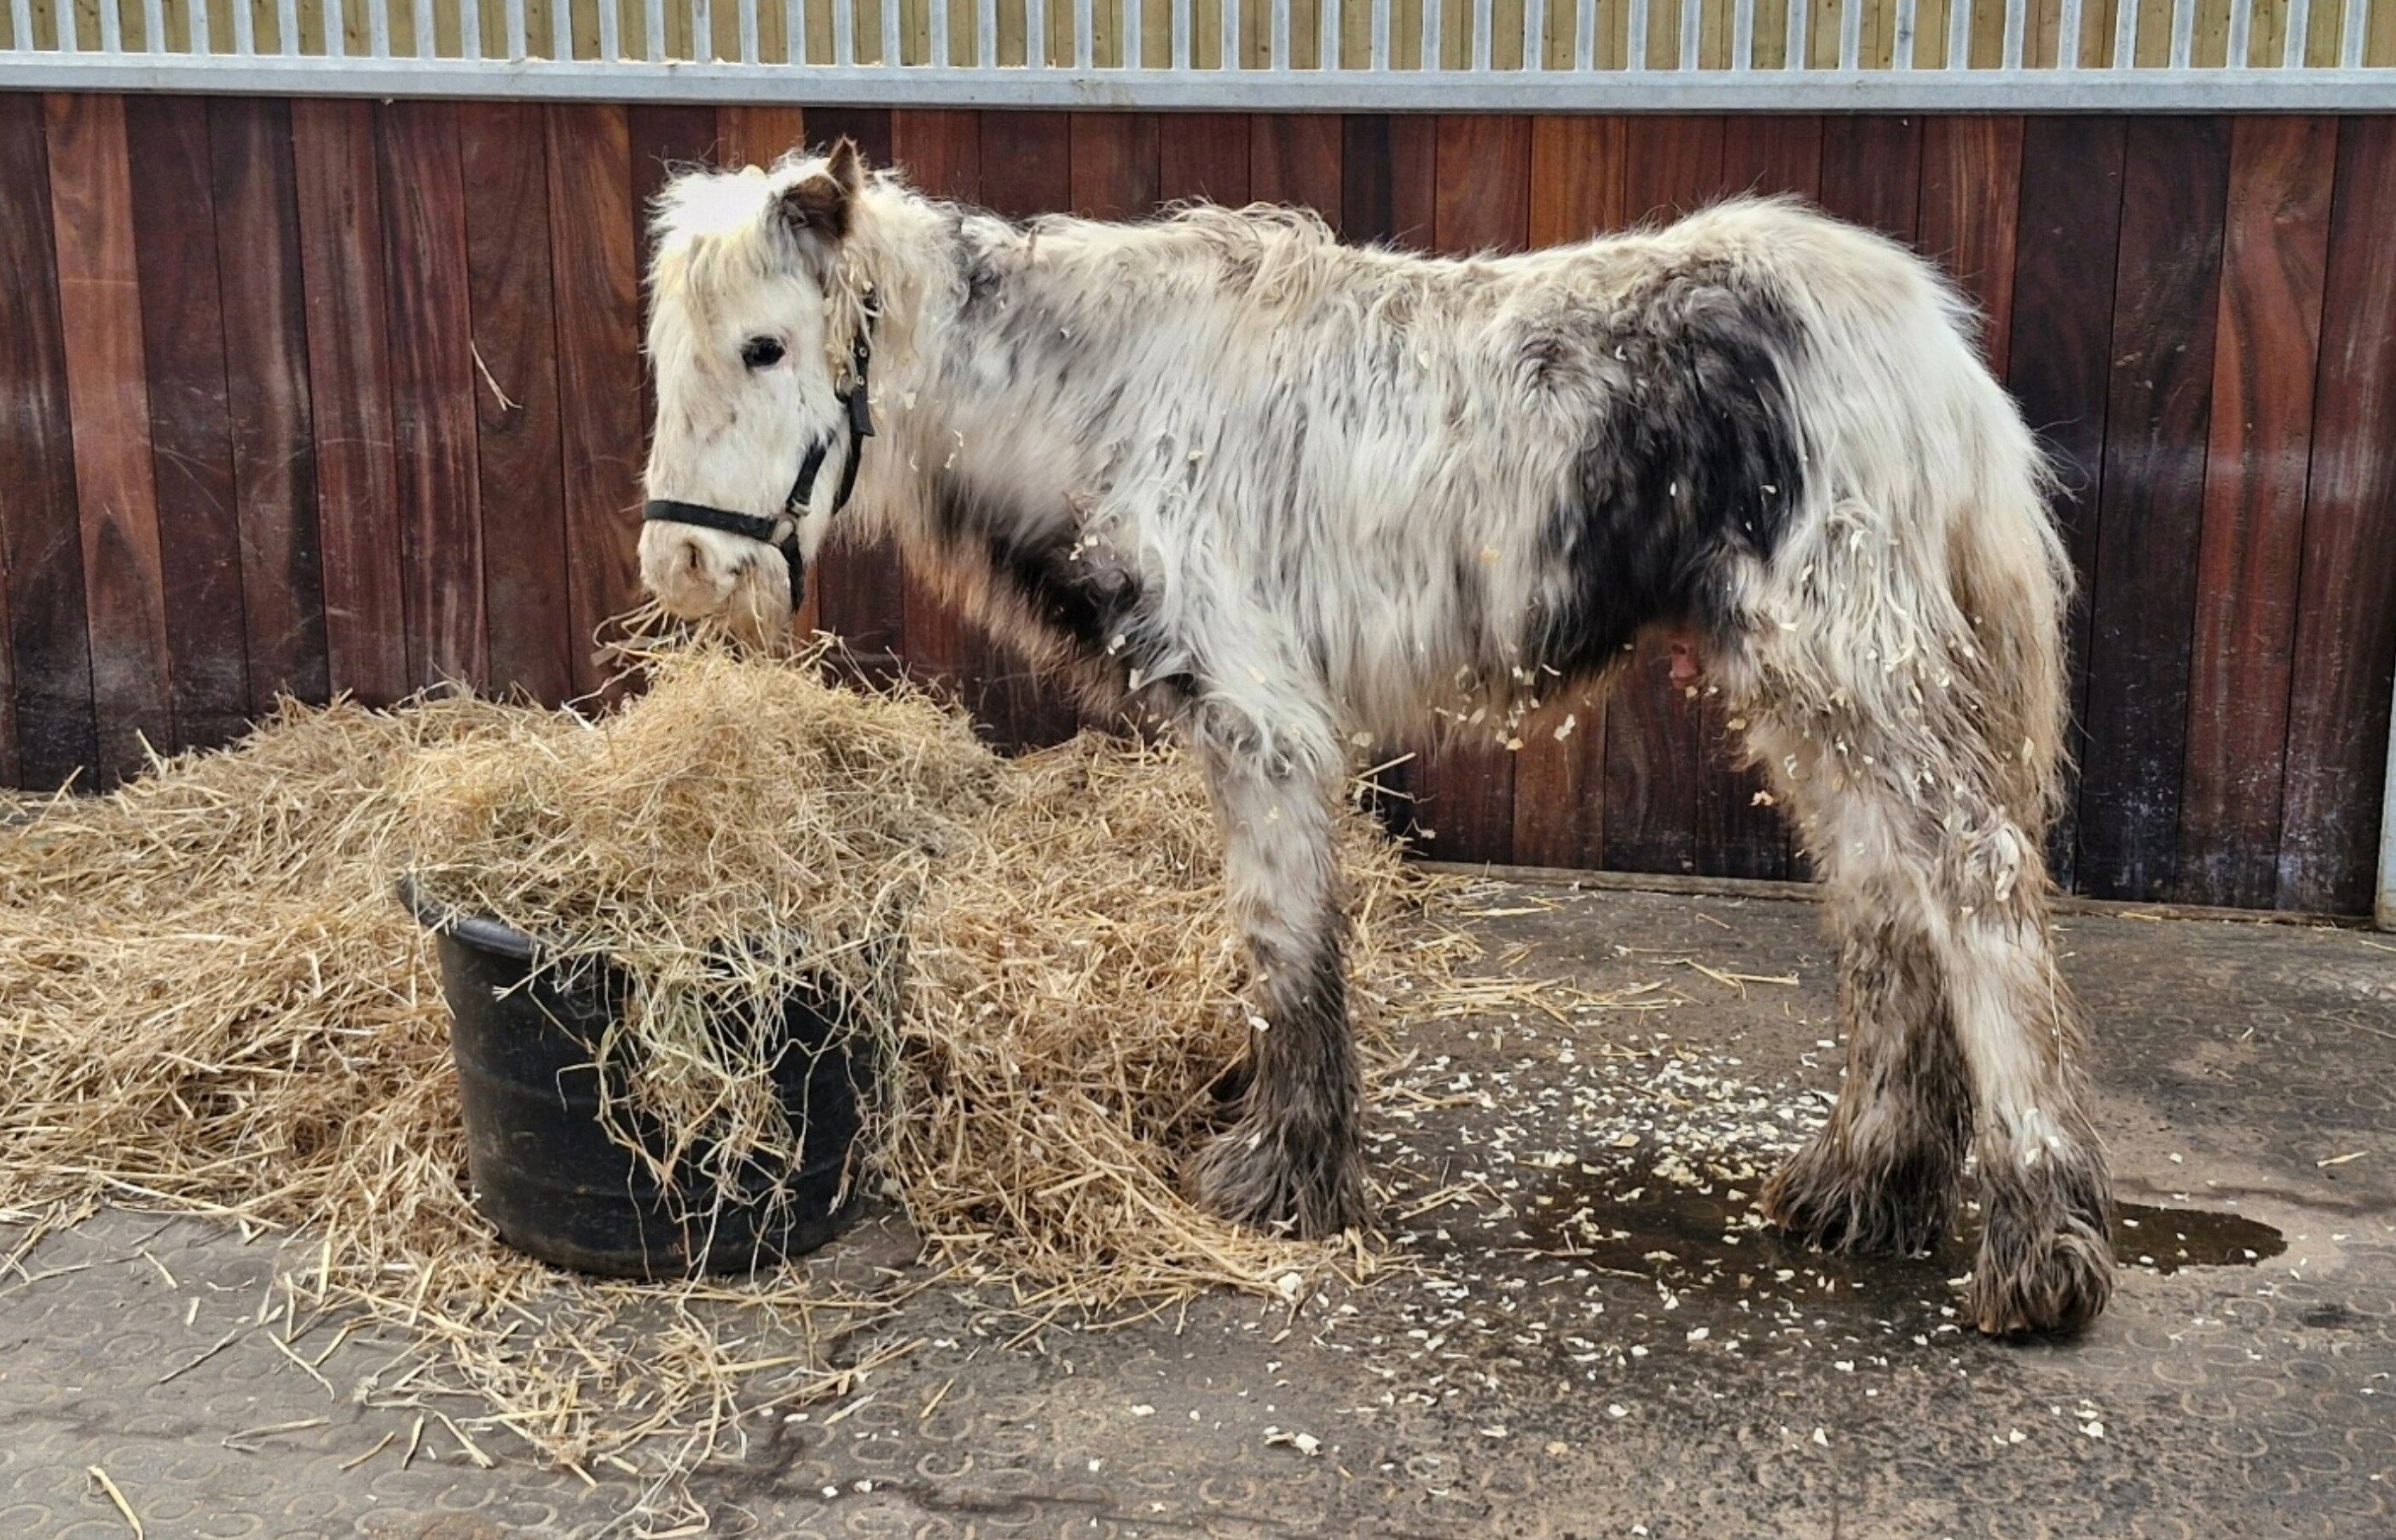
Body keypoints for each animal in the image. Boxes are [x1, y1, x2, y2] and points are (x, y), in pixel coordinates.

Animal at [632, 140, 2114, 1336]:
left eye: (765, 347)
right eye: (666, 357)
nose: (682, 566)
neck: (1098, 396)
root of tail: (1930, 343)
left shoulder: (1266, 723)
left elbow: (1284, 952)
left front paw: (1279, 1181)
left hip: (1851, 668)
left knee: (1976, 878)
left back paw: (2040, 1251)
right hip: (1802, 694)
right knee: (1884, 899)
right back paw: (1865, 1188)